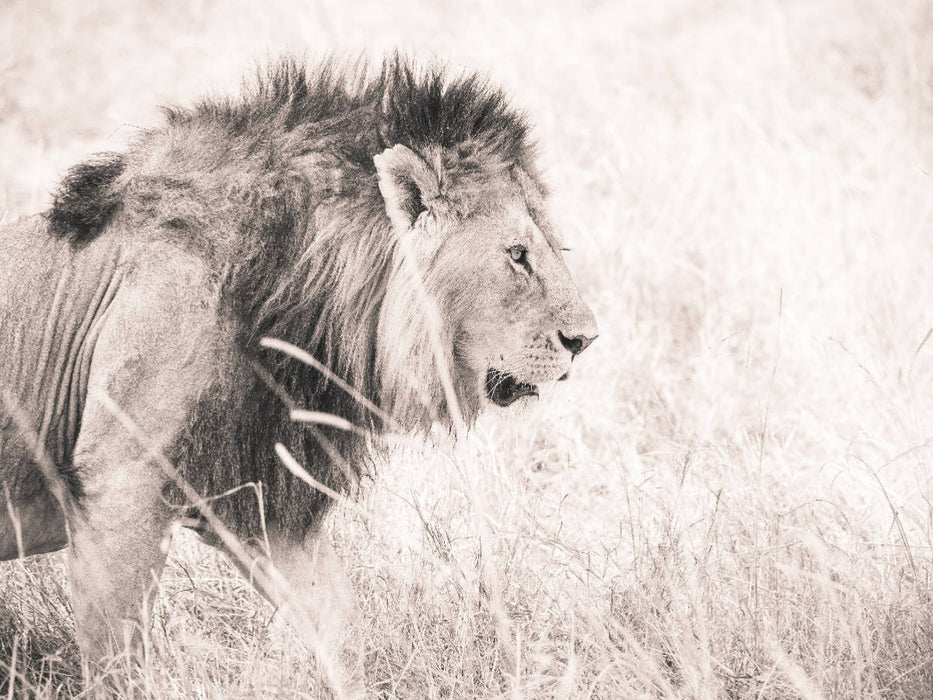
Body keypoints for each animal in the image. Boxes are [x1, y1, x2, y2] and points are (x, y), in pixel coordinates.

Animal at [0, 57, 597, 692]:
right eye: (517, 255)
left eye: (554, 248)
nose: (586, 340)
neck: (296, 292)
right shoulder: (119, 484)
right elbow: (118, 663)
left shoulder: (260, 497)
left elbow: (340, 627)